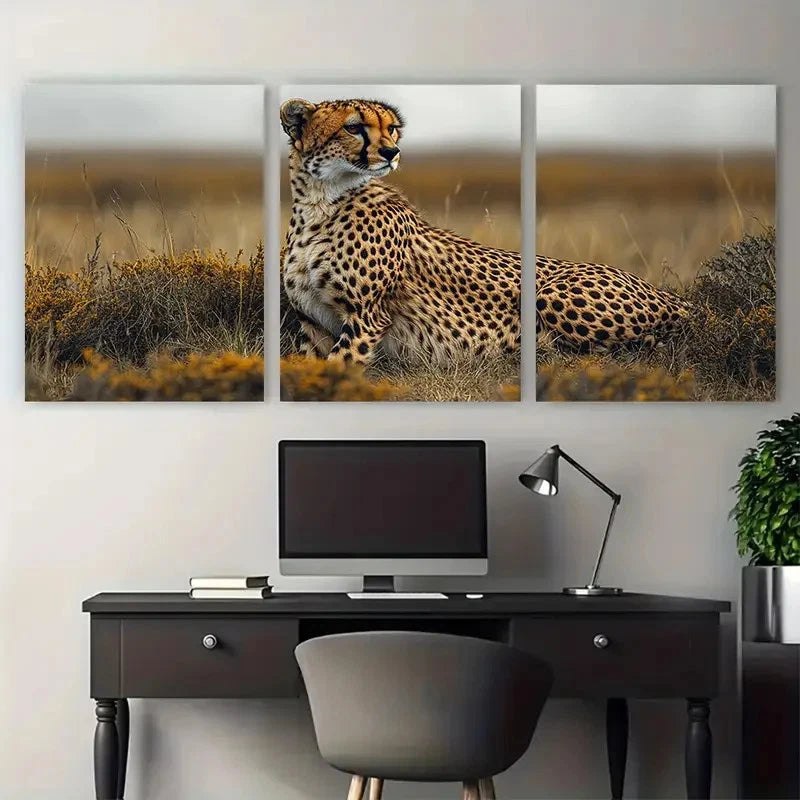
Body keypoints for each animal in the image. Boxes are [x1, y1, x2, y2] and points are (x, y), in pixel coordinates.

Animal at [280, 97, 688, 365]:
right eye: (353, 127)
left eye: (391, 128)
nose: (391, 152)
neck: (319, 204)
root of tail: (671, 296)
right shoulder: (313, 323)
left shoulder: (366, 317)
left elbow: (339, 367)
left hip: (552, 295)